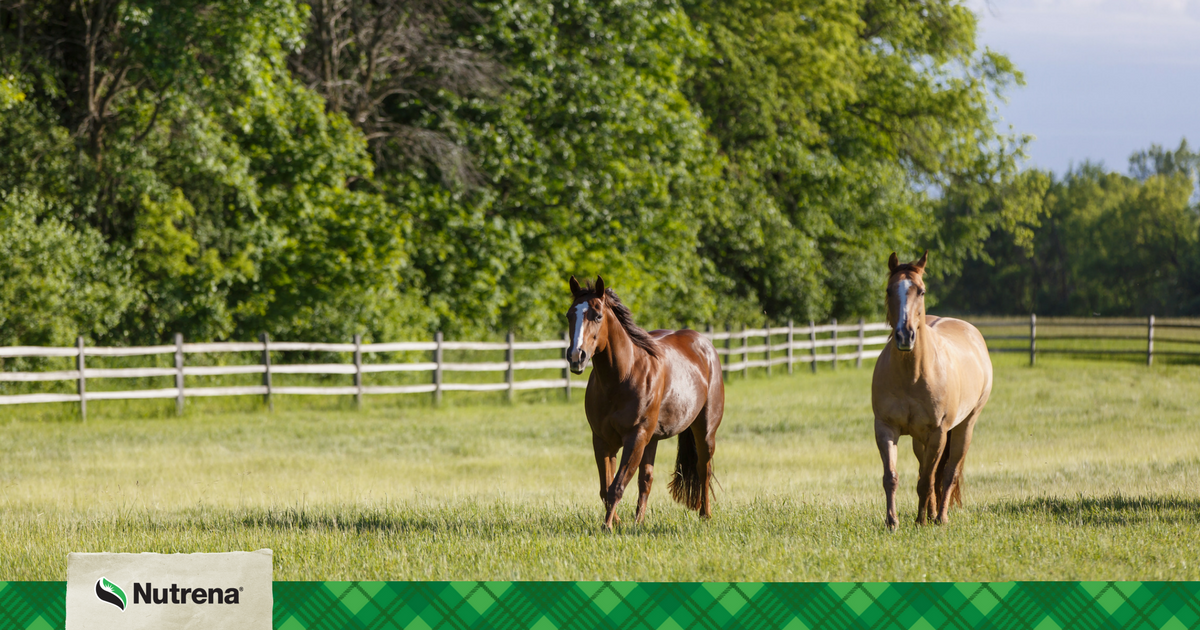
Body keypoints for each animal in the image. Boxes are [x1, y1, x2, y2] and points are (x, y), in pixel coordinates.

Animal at [565, 275, 725, 530]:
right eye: (570, 315)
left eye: (597, 315)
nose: (575, 356)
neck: (622, 377)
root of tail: (704, 345)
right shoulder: (602, 440)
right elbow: (606, 488)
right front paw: (616, 522)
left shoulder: (635, 437)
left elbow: (617, 486)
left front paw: (608, 526)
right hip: (652, 440)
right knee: (646, 479)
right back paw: (638, 522)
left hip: (705, 430)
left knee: (704, 469)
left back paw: (705, 515)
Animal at [871, 251, 993, 530]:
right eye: (889, 289)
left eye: (922, 291)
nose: (905, 336)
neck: (912, 375)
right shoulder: (885, 428)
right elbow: (891, 477)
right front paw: (892, 522)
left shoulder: (938, 433)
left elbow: (928, 480)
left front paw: (920, 521)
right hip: (920, 439)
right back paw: (931, 513)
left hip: (963, 428)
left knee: (948, 473)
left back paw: (940, 517)